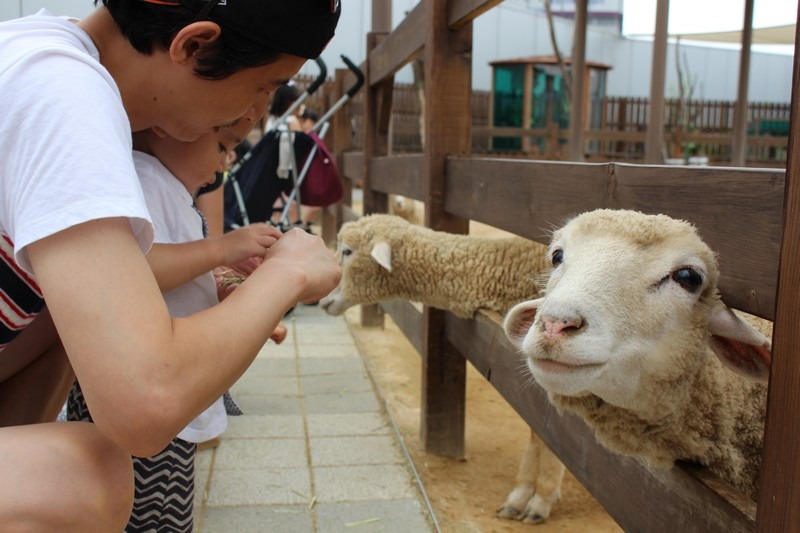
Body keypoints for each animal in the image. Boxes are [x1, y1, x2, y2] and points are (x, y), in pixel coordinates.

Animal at [318, 214, 568, 520]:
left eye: (347, 251)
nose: (323, 300)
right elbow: (538, 432)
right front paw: (523, 494)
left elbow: (547, 435)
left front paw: (540, 498)